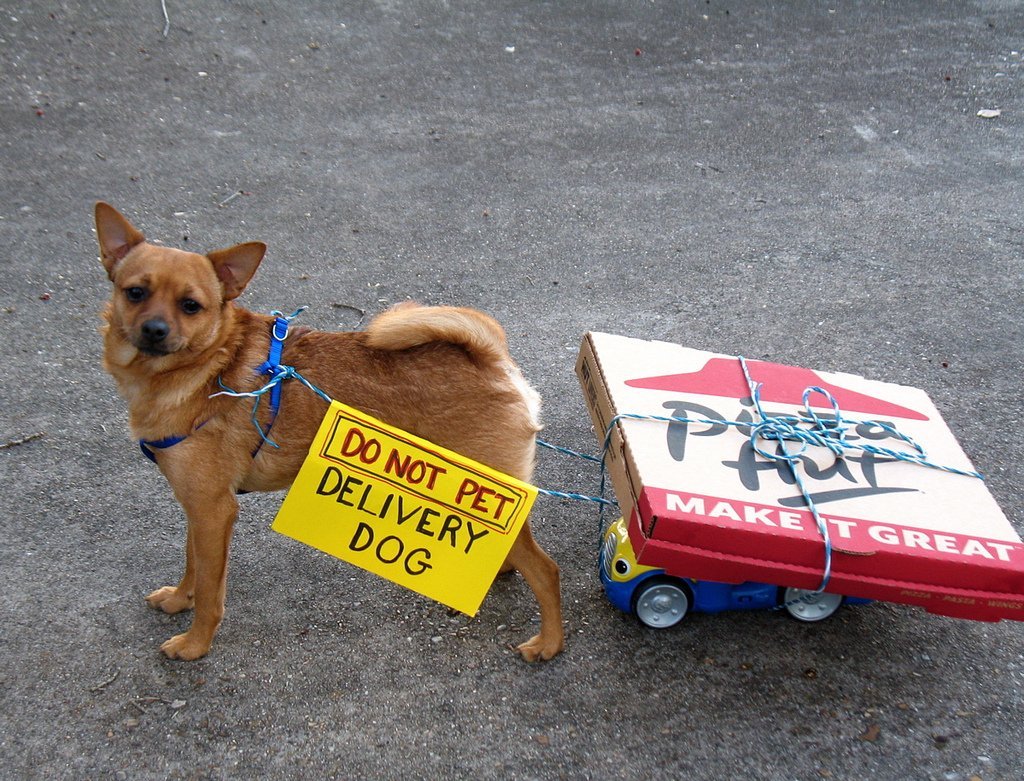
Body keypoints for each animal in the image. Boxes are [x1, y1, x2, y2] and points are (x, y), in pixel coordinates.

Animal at [96, 201, 565, 659]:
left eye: (191, 305)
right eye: (135, 292)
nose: (154, 330)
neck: (208, 366)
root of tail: (491, 359)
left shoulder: (213, 510)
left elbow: (211, 592)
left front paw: (195, 644)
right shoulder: (196, 507)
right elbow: (191, 564)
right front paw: (180, 599)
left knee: (547, 571)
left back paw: (550, 642)